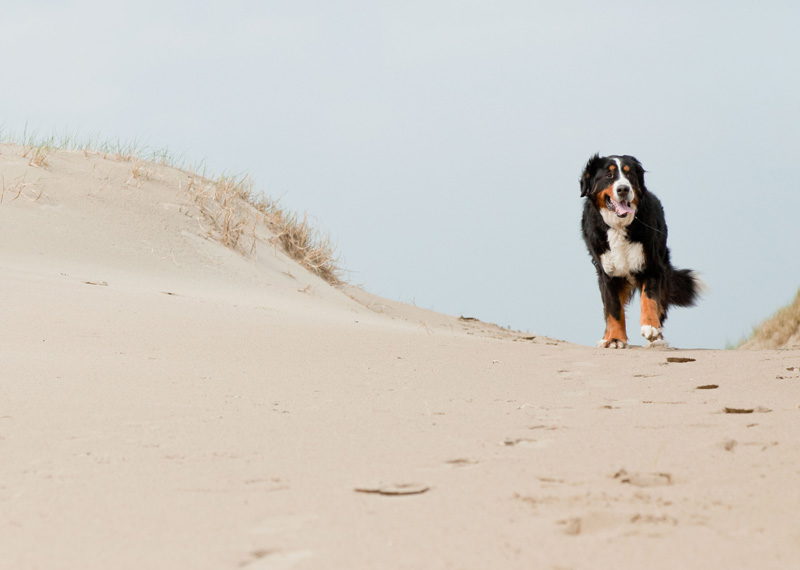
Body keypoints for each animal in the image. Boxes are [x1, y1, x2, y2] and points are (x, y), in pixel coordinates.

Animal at [580, 153, 700, 346]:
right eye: (609, 175)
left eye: (629, 174)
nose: (623, 189)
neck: (619, 226)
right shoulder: (607, 273)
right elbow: (613, 308)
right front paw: (615, 339)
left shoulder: (651, 265)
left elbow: (649, 298)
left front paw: (650, 326)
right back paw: (606, 337)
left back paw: (658, 339)